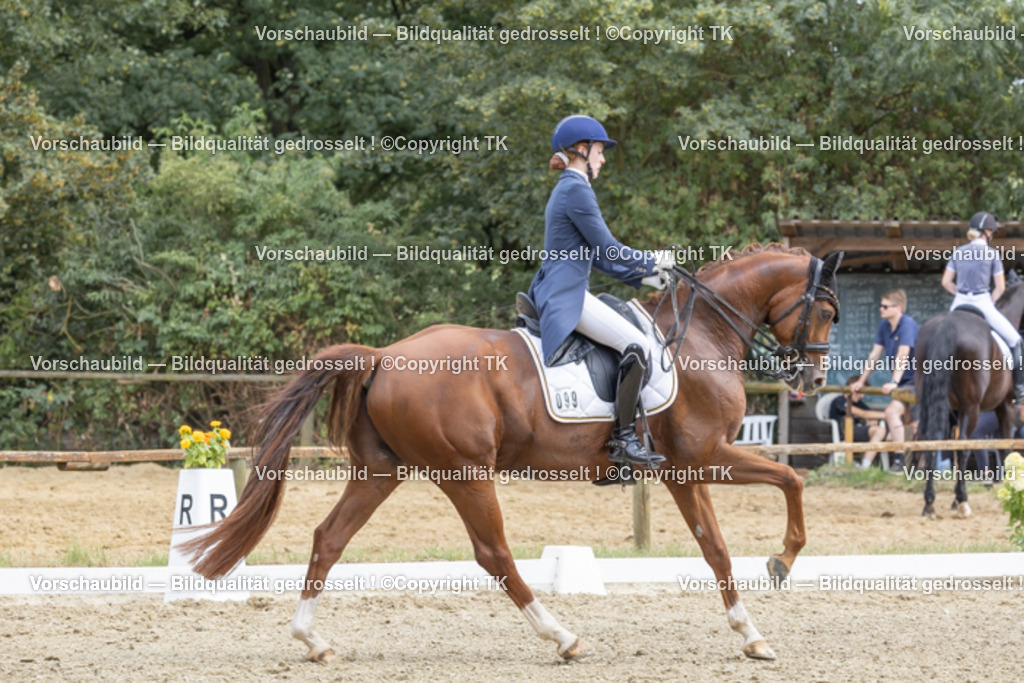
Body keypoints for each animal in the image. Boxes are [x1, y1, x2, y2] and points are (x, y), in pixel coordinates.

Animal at [184, 244, 844, 663]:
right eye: (828, 311)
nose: (812, 379)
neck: (703, 333)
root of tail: (384, 356)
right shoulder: (704, 456)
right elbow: (784, 487)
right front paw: (781, 565)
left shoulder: (687, 470)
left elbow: (720, 547)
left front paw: (752, 631)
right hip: (464, 472)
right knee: (494, 554)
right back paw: (564, 638)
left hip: (382, 471)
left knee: (329, 538)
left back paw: (312, 641)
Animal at [914, 271, 1024, 518]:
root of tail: (947, 324)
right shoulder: (1007, 406)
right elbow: (1005, 446)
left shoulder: (953, 411)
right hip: (971, 408)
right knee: (964, 446)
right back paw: (963, 502)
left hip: (931, 402)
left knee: (930, 441)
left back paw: (930, 503)